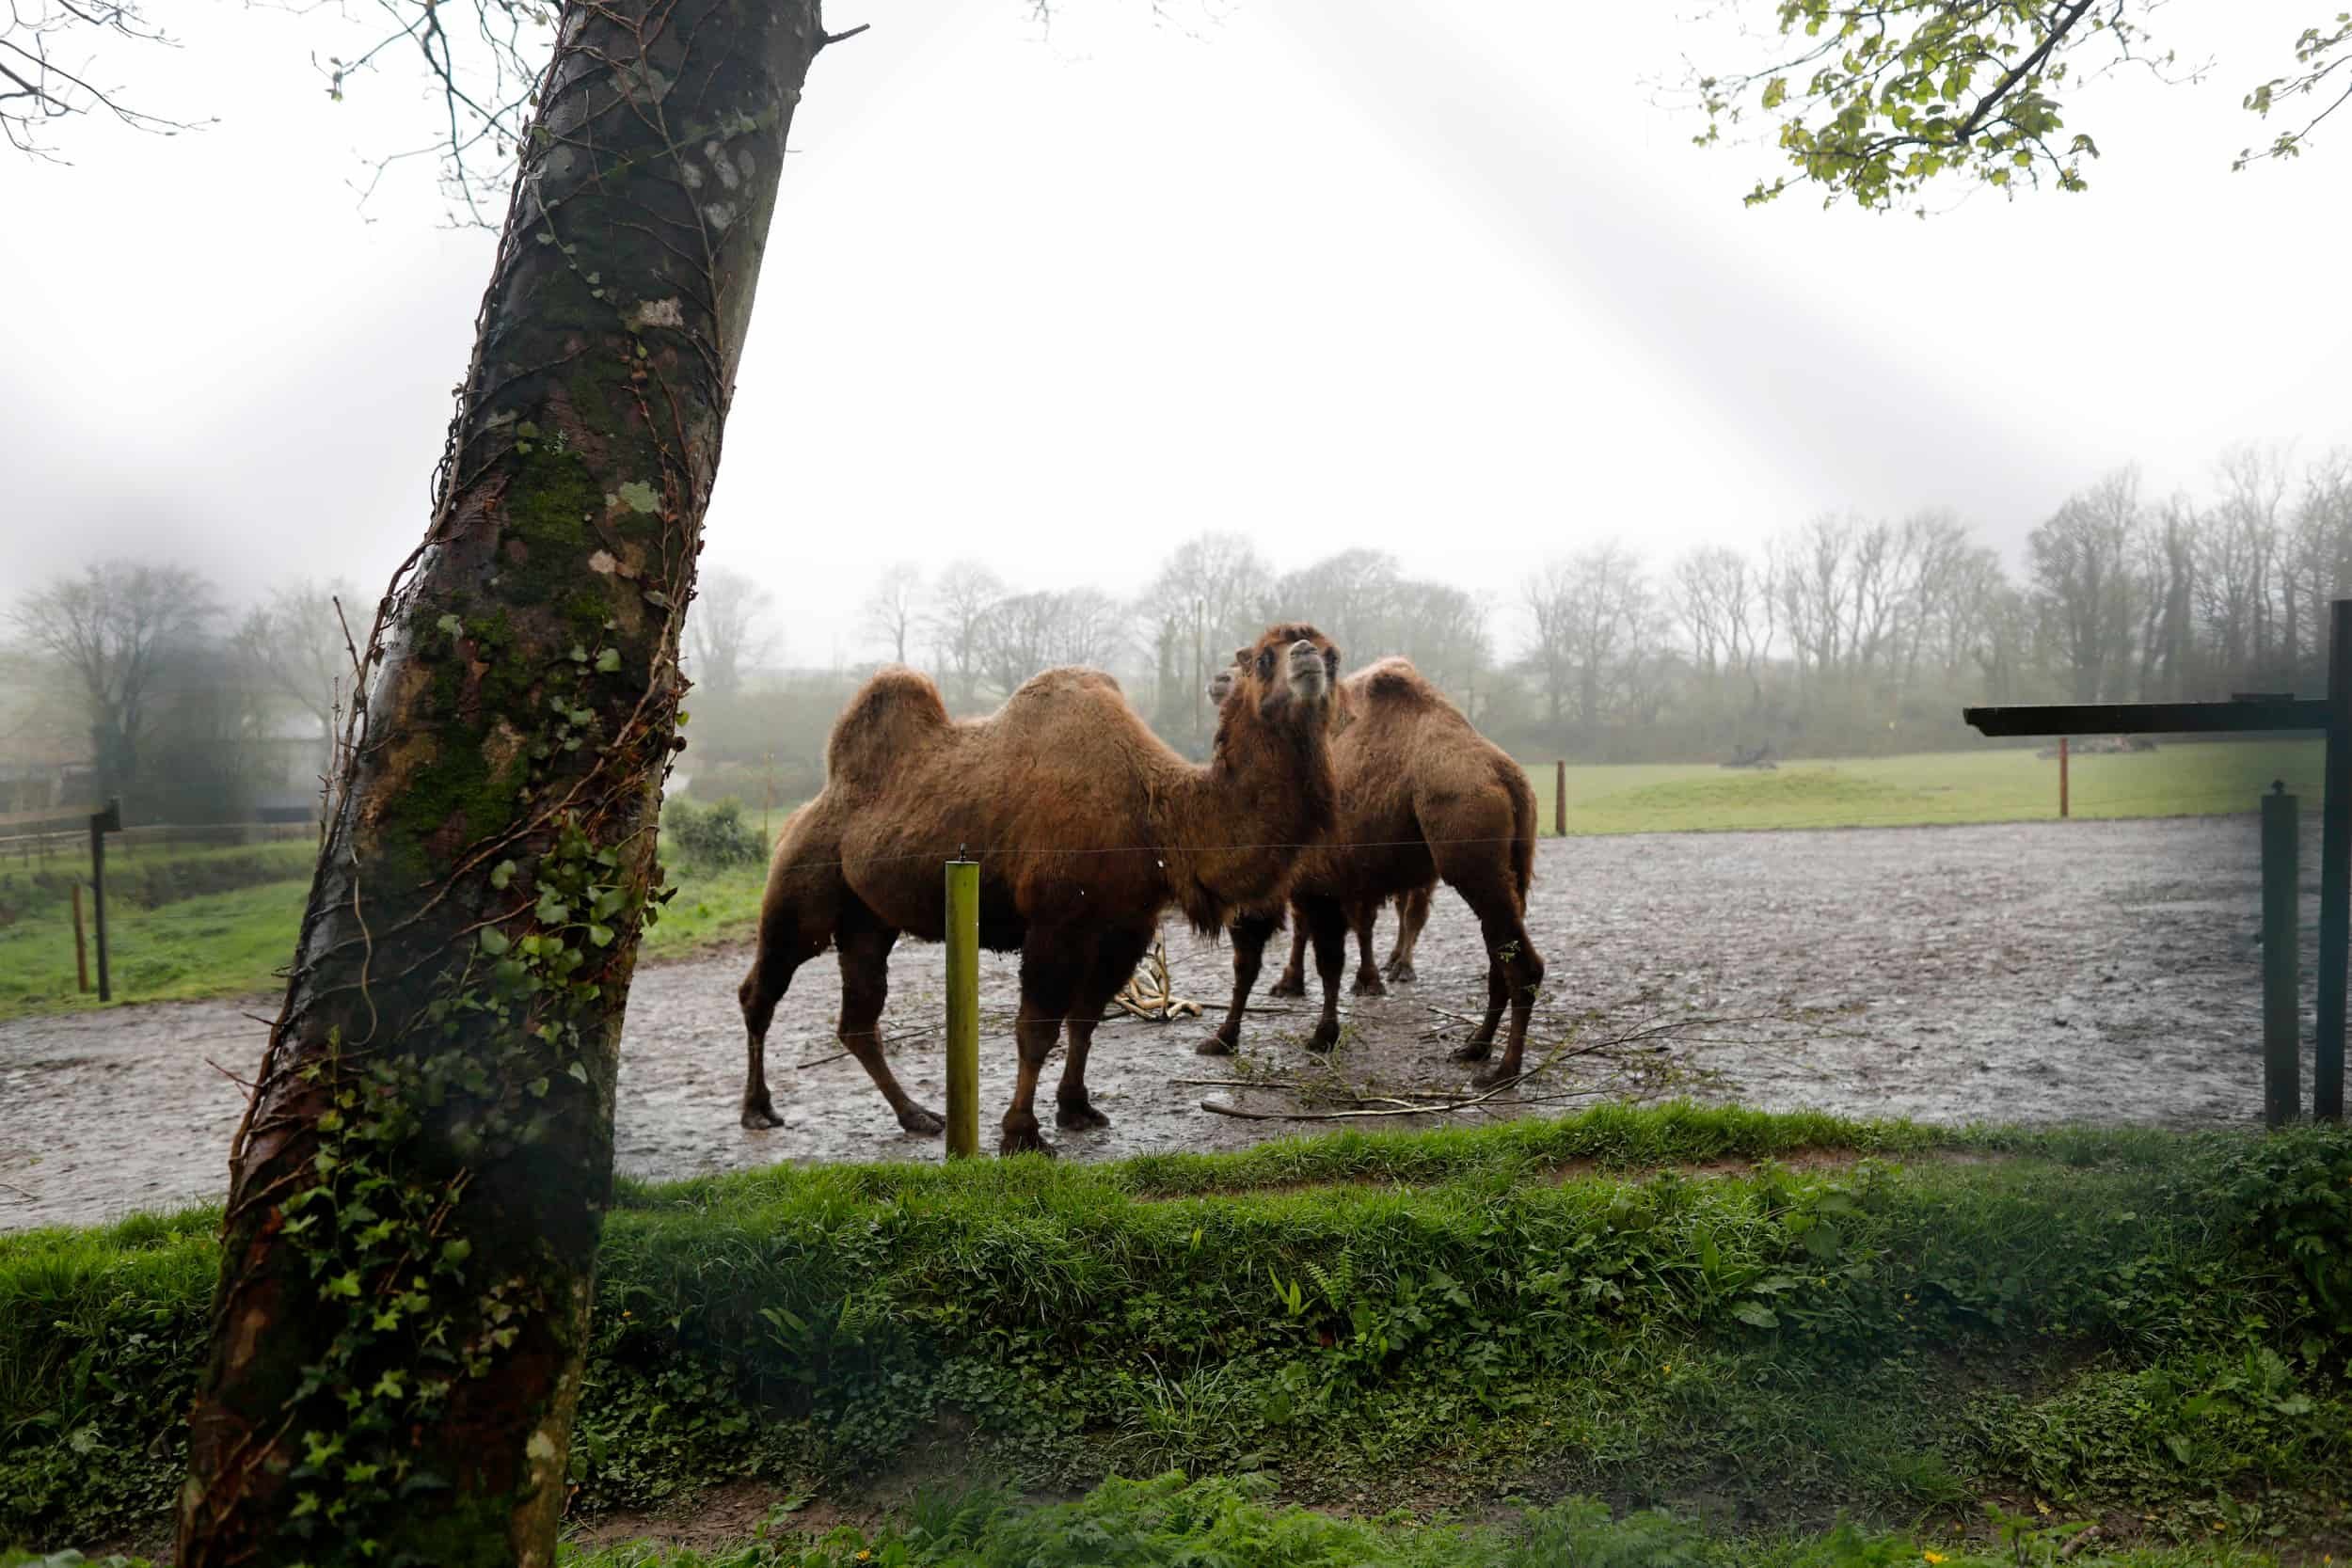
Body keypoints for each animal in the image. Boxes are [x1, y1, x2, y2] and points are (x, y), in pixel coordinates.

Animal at [736, 624, 1341, 1155]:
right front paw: (1021, 1134)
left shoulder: (1124, 925)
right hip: (802, 893)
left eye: (1334, 655)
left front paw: (1076, 1108)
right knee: (761, 990)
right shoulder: (1056, 923)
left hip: (868, 921)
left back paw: (917, 1116)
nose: (1309, 656)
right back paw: (759, 1109)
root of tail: (800, 814)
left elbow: (1085, 1019)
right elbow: (1037, 1030)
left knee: (858, 1021)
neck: (1156, 814)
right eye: (1263, 658)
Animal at [1199, 656, 1544, 1087]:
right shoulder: (1322, 884)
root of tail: (1507, 777)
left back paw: (1503, 1069)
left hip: (1471, 855)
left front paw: (1227, 1038)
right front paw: (1323, 1033)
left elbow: (1263, 961)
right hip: (1513, 870)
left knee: (1520, 963)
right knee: (1500, 956)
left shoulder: (1307, 884)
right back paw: (1474, 1048)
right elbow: (1324, 959)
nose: (1218, 678)